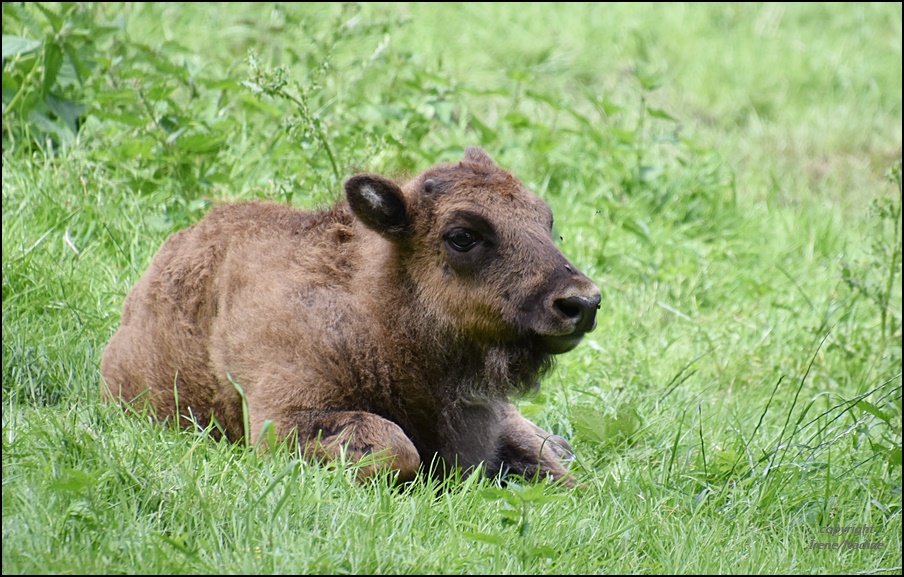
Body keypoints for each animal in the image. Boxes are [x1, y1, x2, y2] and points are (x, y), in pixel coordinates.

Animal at [102, 146, 600, 484]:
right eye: (462, 235)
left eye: (545, 220)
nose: (583, 302)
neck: (374, 309)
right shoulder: (283, 419)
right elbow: (396, 447)